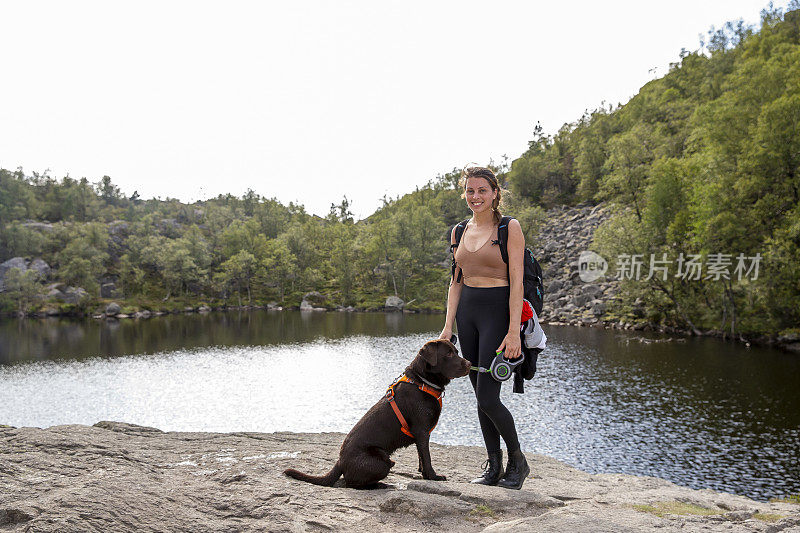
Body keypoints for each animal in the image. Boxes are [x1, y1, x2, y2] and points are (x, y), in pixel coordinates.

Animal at [282, 338, 468, 488]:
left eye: (456, 351)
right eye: (448, 353)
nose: (468, 363)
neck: (422, 382)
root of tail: (340, 462)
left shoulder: (420, 436)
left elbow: (421, 457)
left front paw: (423, 473)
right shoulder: (422, 432)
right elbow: (427, 458)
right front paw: (433, 476)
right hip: (384, 460)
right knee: (352, 483)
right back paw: (380, 485)